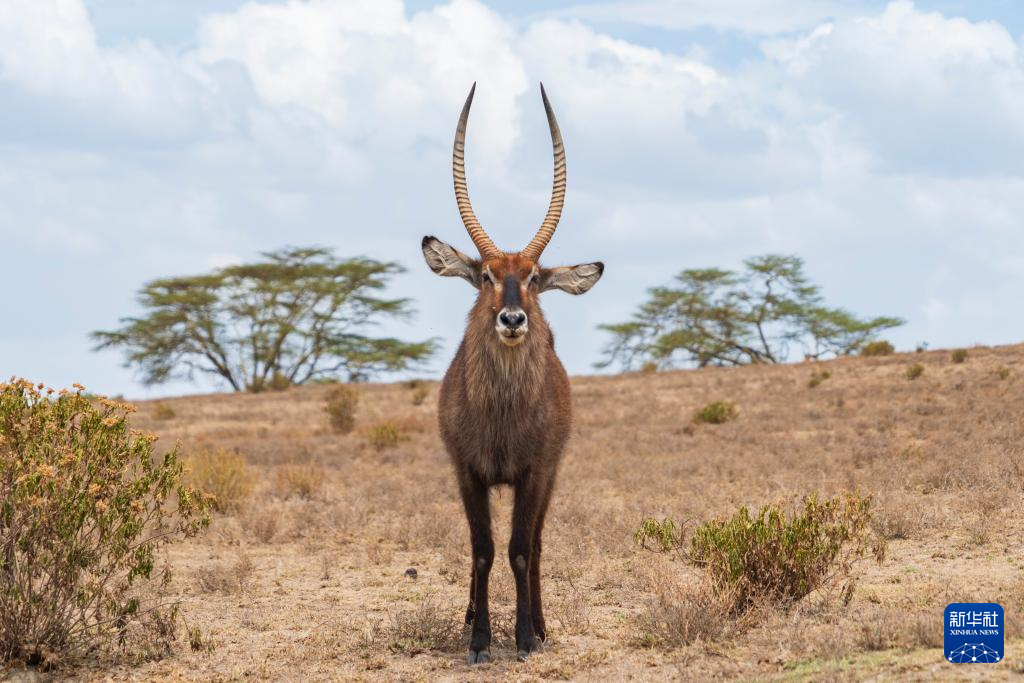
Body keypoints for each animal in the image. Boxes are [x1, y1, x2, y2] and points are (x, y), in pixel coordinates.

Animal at [421, 83, 604, 664]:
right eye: (484, 275)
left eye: (535, 278)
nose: (512, 319)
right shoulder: (467, 472)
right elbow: (482, 550)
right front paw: (478, 640)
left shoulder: (534, 472)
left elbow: (521, 550)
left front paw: (524, 637)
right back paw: (469, 619)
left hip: (551, 476)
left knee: (538, 546)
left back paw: (541, 625)